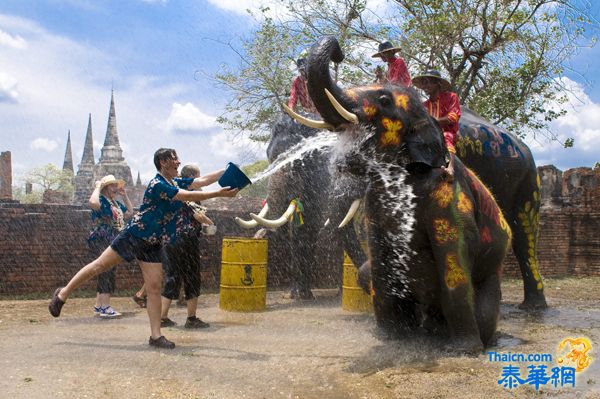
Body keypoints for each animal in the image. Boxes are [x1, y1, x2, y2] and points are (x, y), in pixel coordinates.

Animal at [290, 35, 510, 354]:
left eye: (384, 101)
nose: (339, 52)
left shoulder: (450, 199)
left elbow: (454, 260)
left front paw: (462, 351)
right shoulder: (375, 203)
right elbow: (380, 259)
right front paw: (389, 337)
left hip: (493, 270)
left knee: (484, 305)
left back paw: (474, 339)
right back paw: (425, 332)